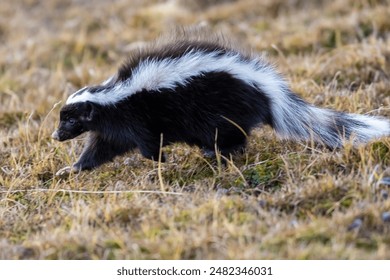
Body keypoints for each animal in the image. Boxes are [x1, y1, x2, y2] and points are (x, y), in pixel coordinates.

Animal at [52, 29, 390, 172]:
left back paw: (215, 152)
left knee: (231, 134)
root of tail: (267, 88)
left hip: (219, 109)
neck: (113, 95)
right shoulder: (111, 128)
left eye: (69, 118)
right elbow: (98, 151)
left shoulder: (135, 117)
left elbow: (149, 143)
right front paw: (71, 169)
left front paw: (160, 163)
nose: (55, 135)